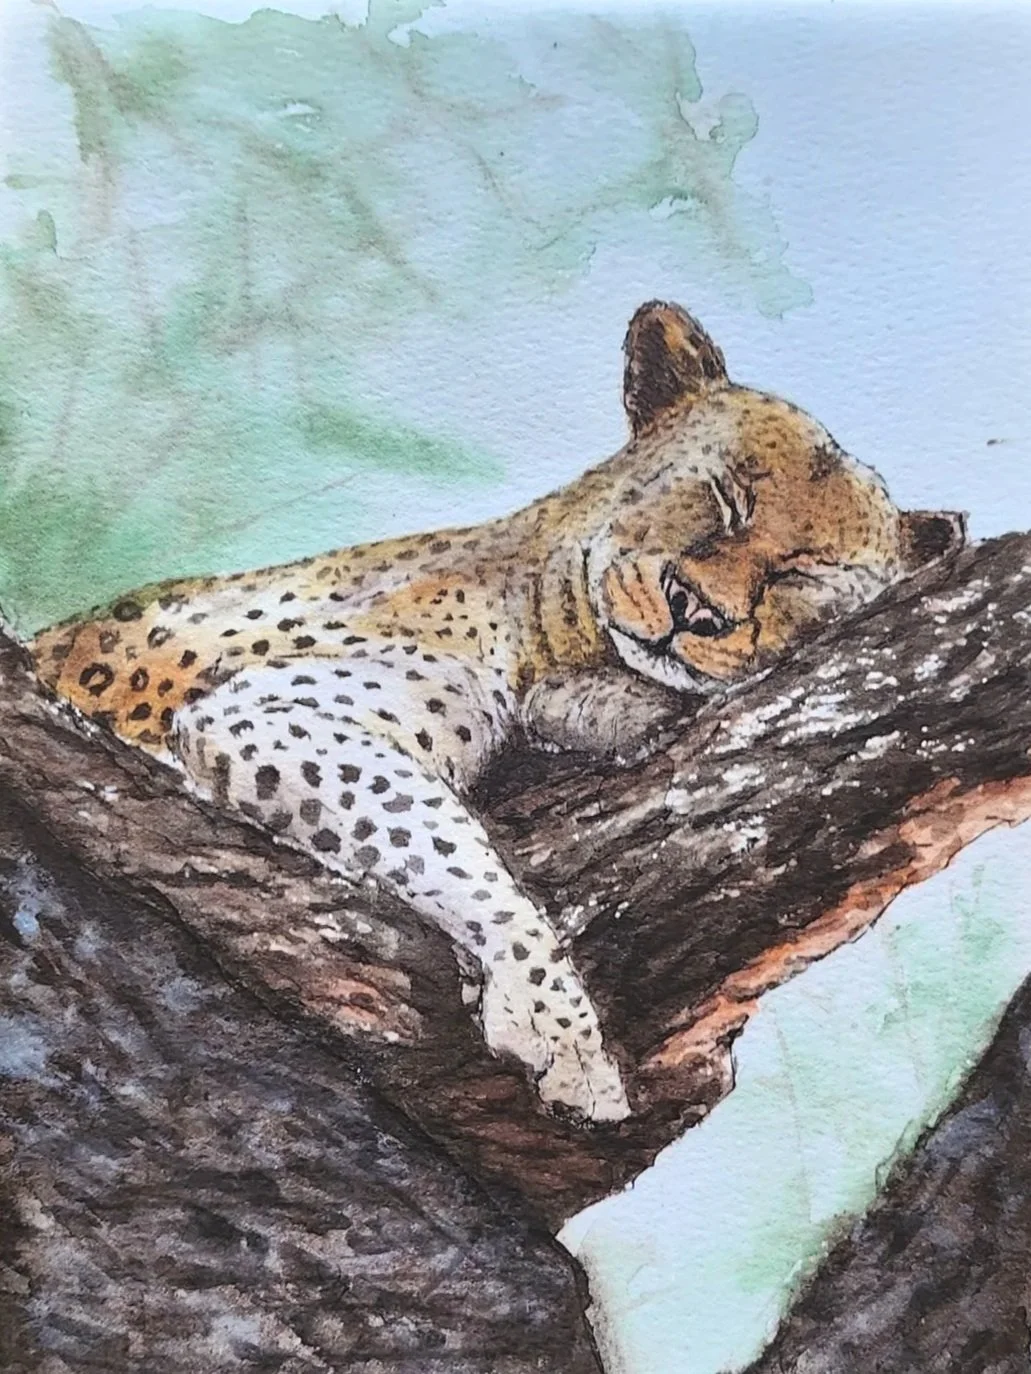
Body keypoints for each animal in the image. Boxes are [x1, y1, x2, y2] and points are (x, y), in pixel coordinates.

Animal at [27, 301, 959, 1124]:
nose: (694, 609)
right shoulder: (268, 713)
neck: (557, 634)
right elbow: (455, 851)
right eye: (724, 495)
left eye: (799, 574)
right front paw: (565, 1038)